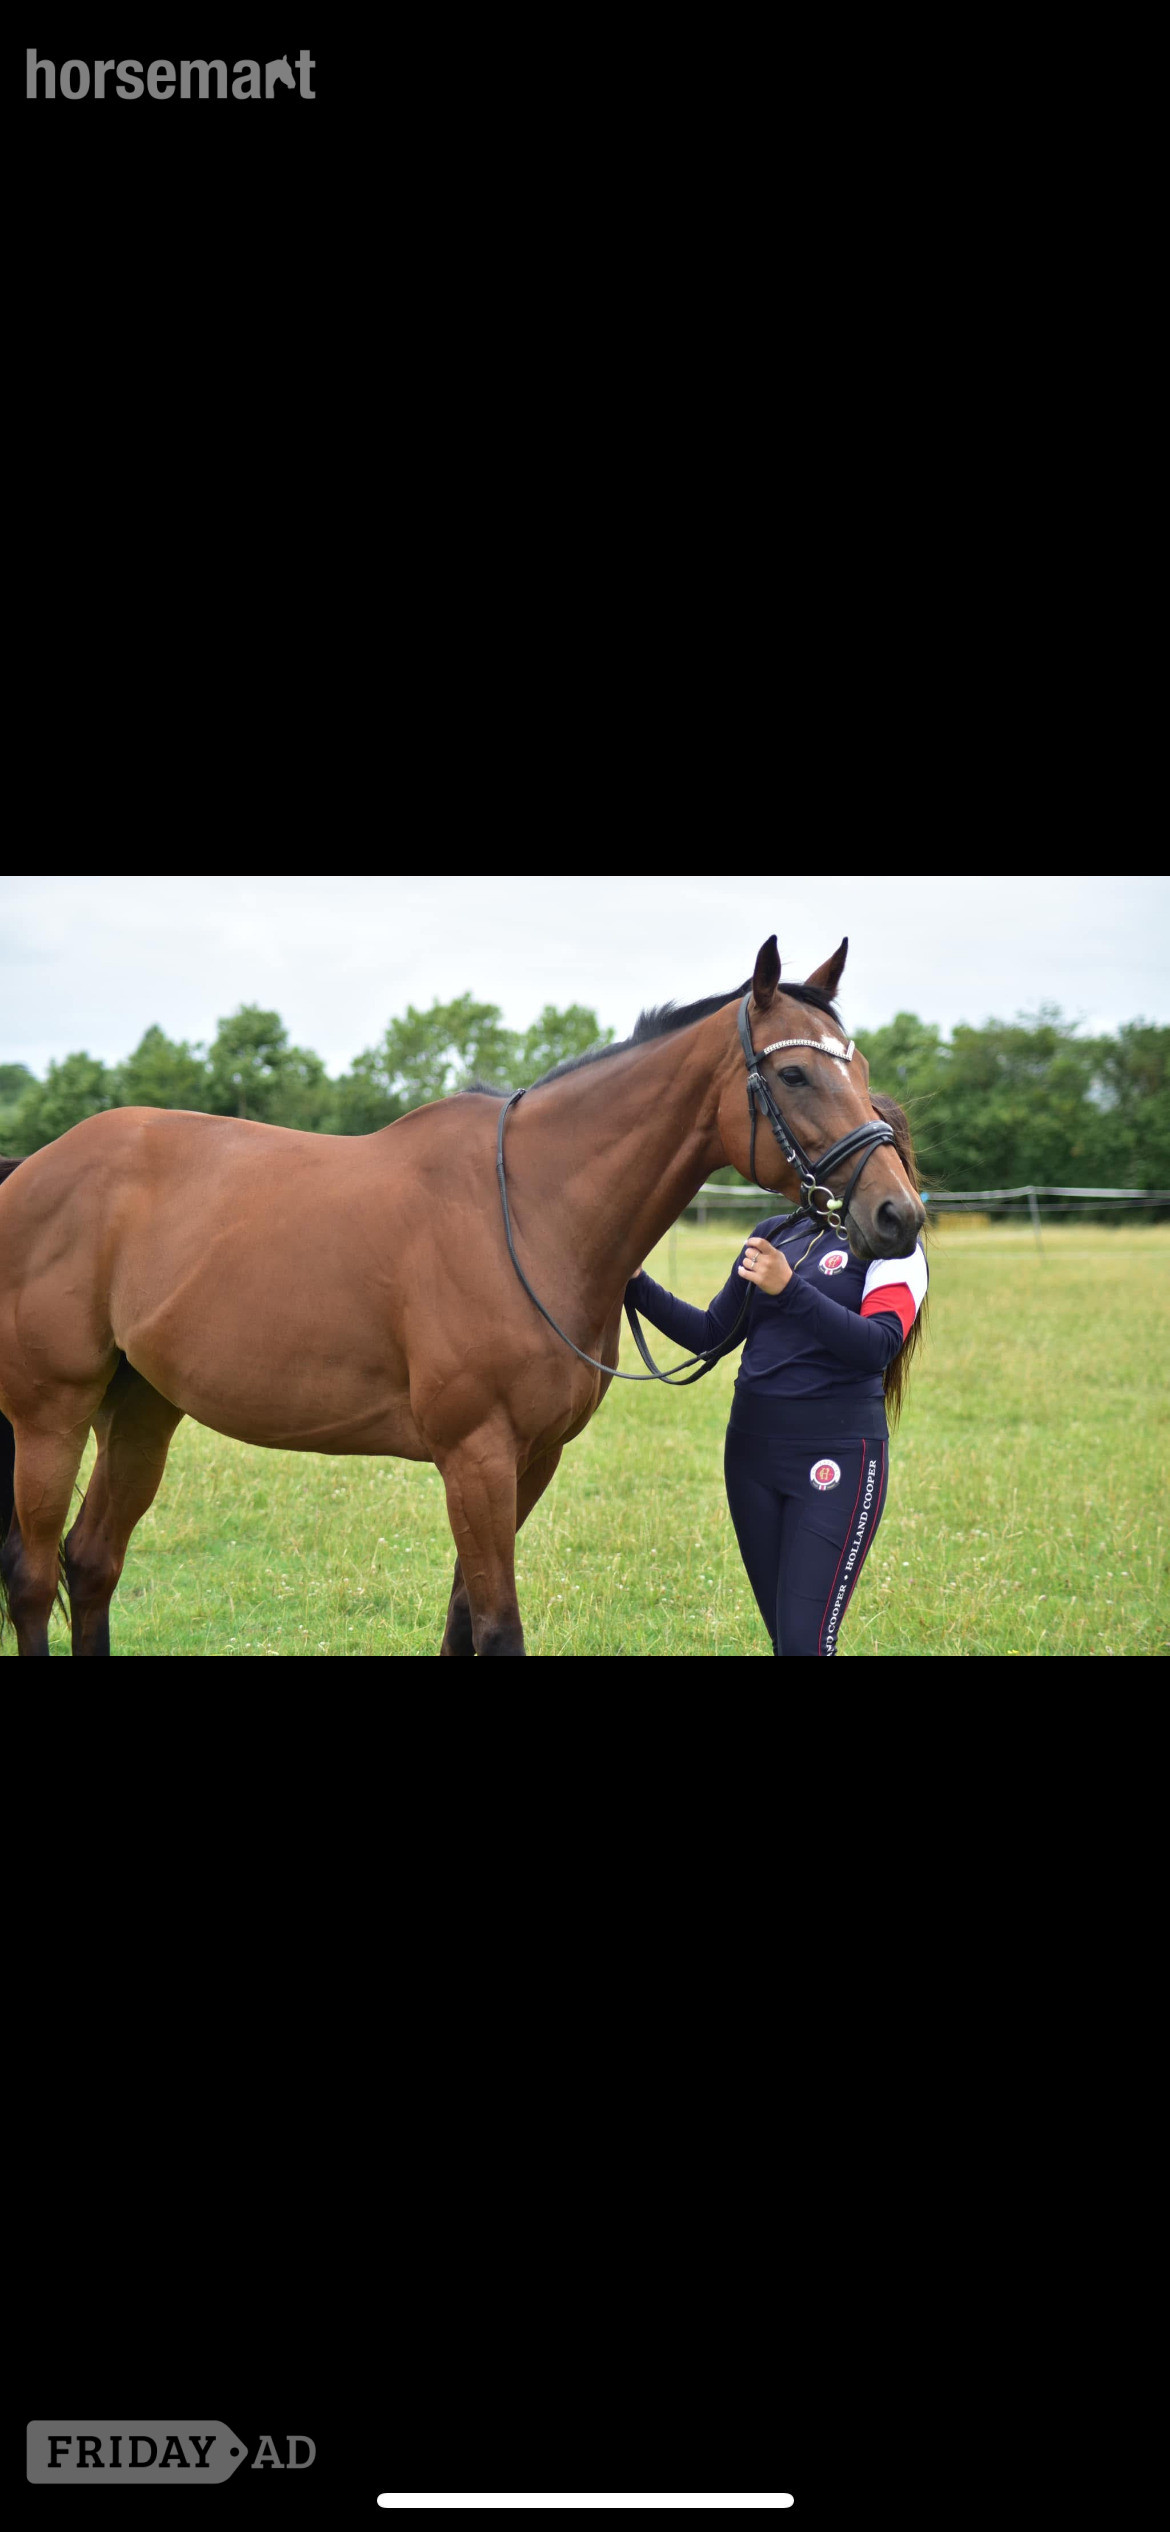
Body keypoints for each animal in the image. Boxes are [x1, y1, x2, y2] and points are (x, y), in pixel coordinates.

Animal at [0, 933, 924, 1658]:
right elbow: (496, 1628)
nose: (898, 1213)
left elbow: (459, 1624)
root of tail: (36, 1168)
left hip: (141, 1407)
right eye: (795, 1073)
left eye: (860, 1066)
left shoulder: (529, 1461)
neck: (531, 1212)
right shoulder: (474, 1458)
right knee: (34, 1575)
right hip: (52, 1414)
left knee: (92, 1563)